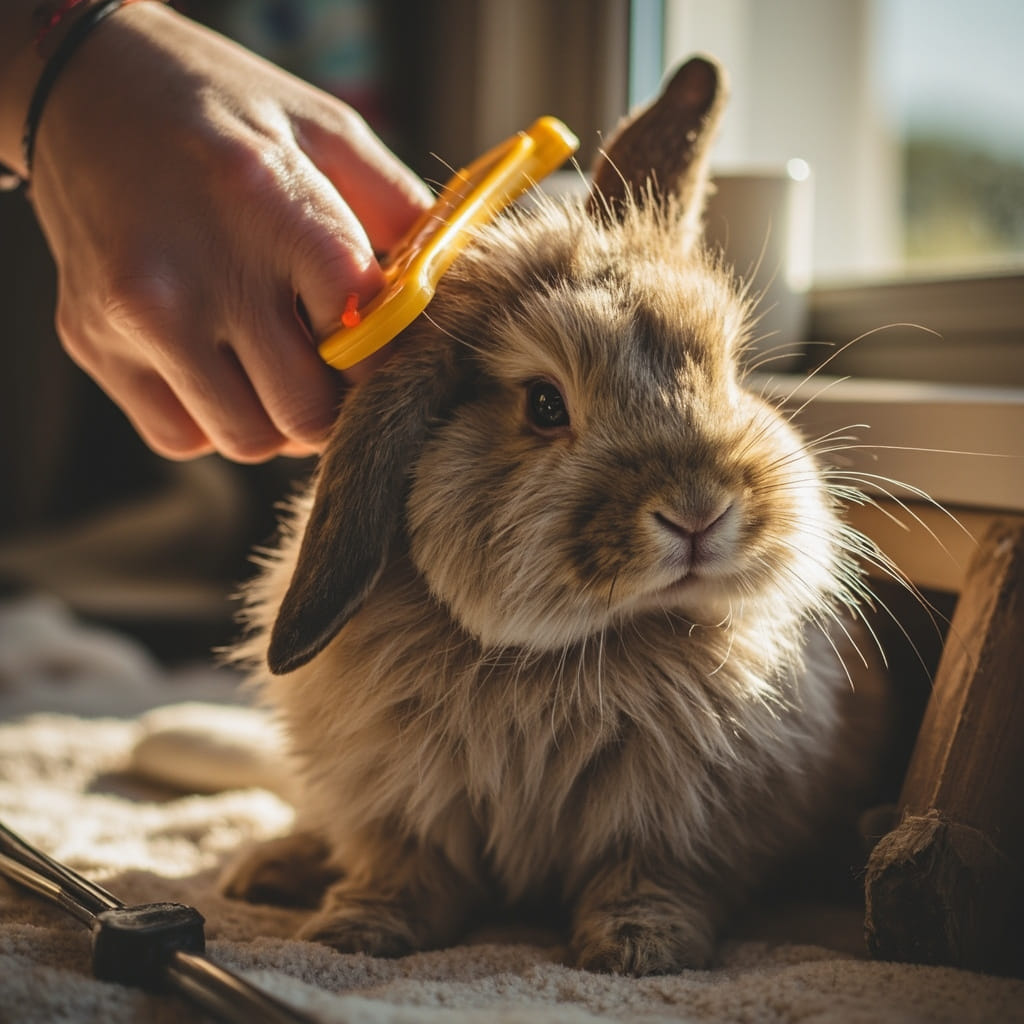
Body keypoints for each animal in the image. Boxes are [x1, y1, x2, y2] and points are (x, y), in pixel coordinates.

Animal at [220, 55, 893, 976]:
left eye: (727, 371)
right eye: (544, 405)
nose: (698, 511)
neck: (571, 652)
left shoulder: (682, 823)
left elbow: (652, 874)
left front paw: (639, 950)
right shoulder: (400, 807)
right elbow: (403, 868)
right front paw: (353, 935)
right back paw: (268, 872)